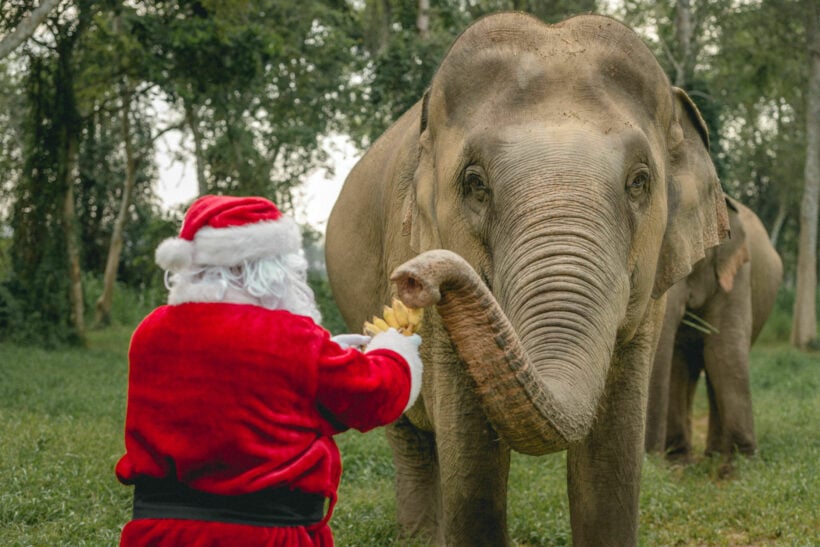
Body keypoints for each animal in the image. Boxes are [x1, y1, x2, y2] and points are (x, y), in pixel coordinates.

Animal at [324, 12, 728, 547]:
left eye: (640, 182)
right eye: (475, 183)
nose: (412, 278)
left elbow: (613, 449)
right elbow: (471, 452)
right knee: (409, 433)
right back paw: (420, 535)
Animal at [648, 195, 780, 460]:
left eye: (694, 256)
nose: (650, 457)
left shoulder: (738, 275)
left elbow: (725, 351)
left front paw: (740, 463)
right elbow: (676, 360)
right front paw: (676, 461)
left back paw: (715, 455)